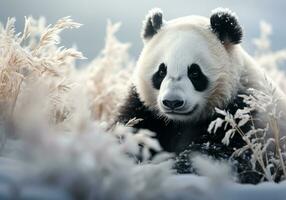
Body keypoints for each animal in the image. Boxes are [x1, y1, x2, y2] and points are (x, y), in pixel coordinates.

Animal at [115, 7, 286, 166]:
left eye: (195, 72)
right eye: (161, 71)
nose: (172, 102)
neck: (181, 122)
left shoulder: (242, 113)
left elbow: (218, 153)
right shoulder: (143, 108)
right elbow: (130, 131)